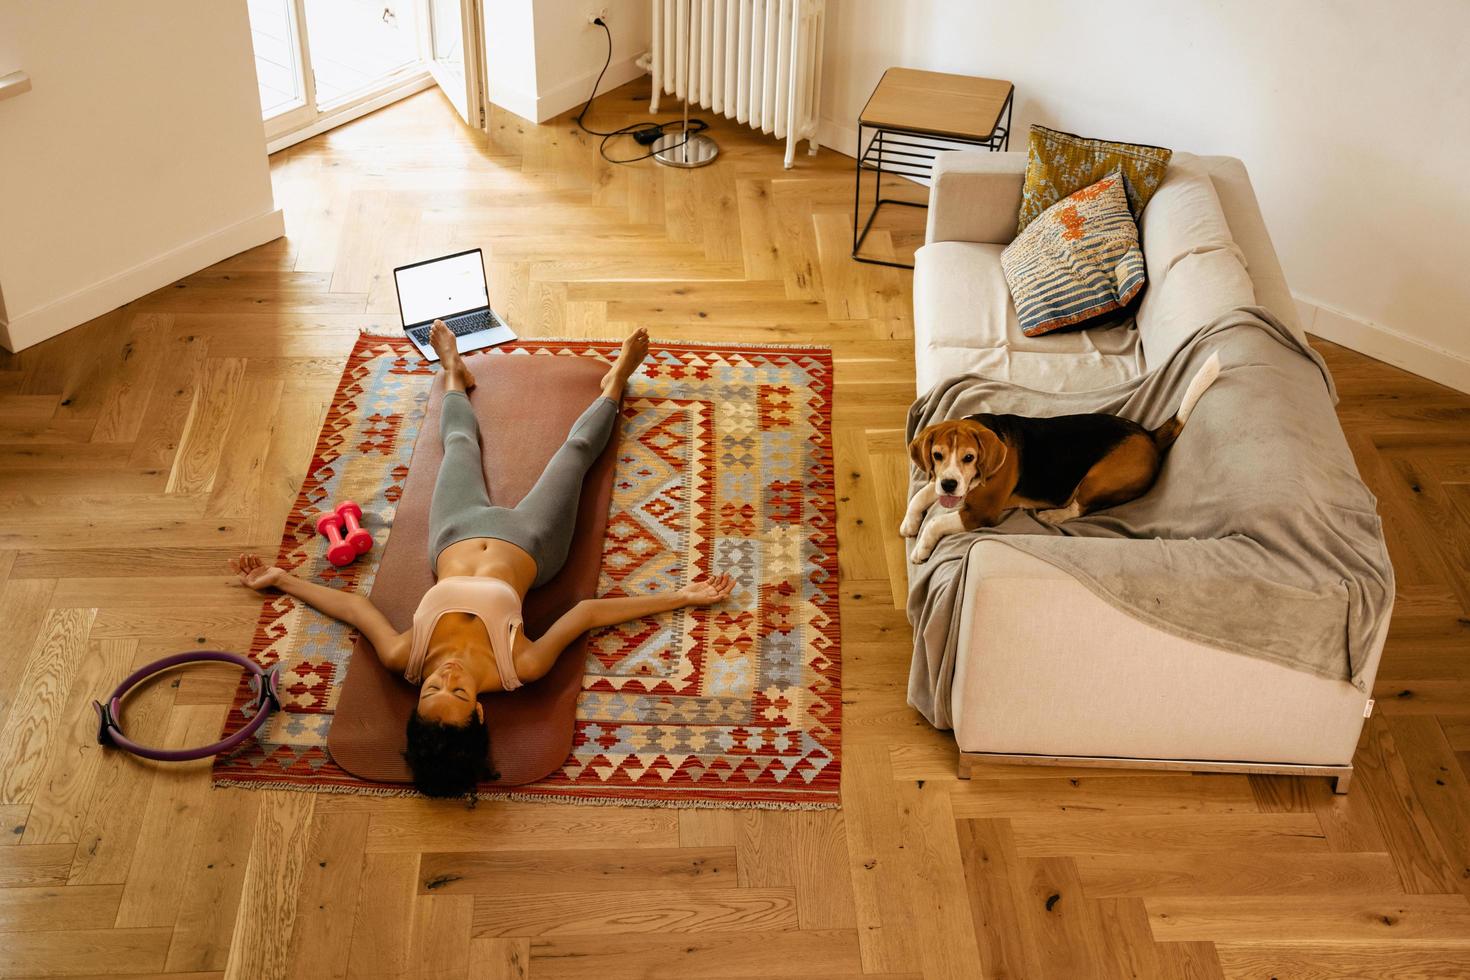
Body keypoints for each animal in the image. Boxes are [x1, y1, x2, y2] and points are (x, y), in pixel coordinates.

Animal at [899, 357, 1223, 564]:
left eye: (969, 457)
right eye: (937, 455)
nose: (949, 484)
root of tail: (1148, 435)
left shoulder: (980, 513)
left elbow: (936, 522)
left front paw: (921, 548)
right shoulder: (943, 485)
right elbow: (920, 497)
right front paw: (909, 523)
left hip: (1098, 478)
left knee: (1079, 507)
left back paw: (1052, 516)